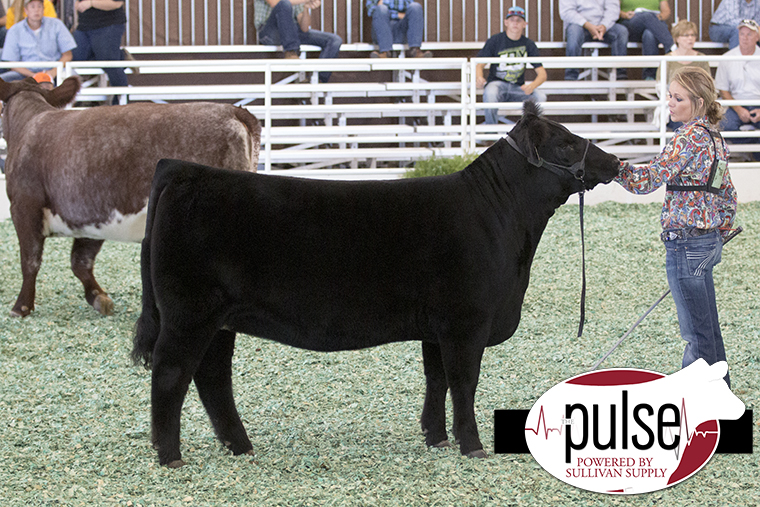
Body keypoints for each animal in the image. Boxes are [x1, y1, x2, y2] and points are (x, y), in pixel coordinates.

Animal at [0, 76, 260, 317]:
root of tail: (232, 110)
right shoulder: (92, 215)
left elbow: (30, 260)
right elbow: (81, 261)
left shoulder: (24, 206)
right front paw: (100, 298)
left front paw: (20, 307)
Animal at [132, 102, 620, 468]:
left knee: (212, 376)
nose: (615, 161)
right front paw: (473, 445)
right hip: (189, 312)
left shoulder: (436, 326)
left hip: (220, 319)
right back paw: (170, 455)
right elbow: (463, 382)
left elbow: (436, 378)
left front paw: (436, 438)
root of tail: (181, 169)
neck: (499, 218)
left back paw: (240, 446)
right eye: (565, 142)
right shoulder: (465, 322)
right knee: (171, 373)